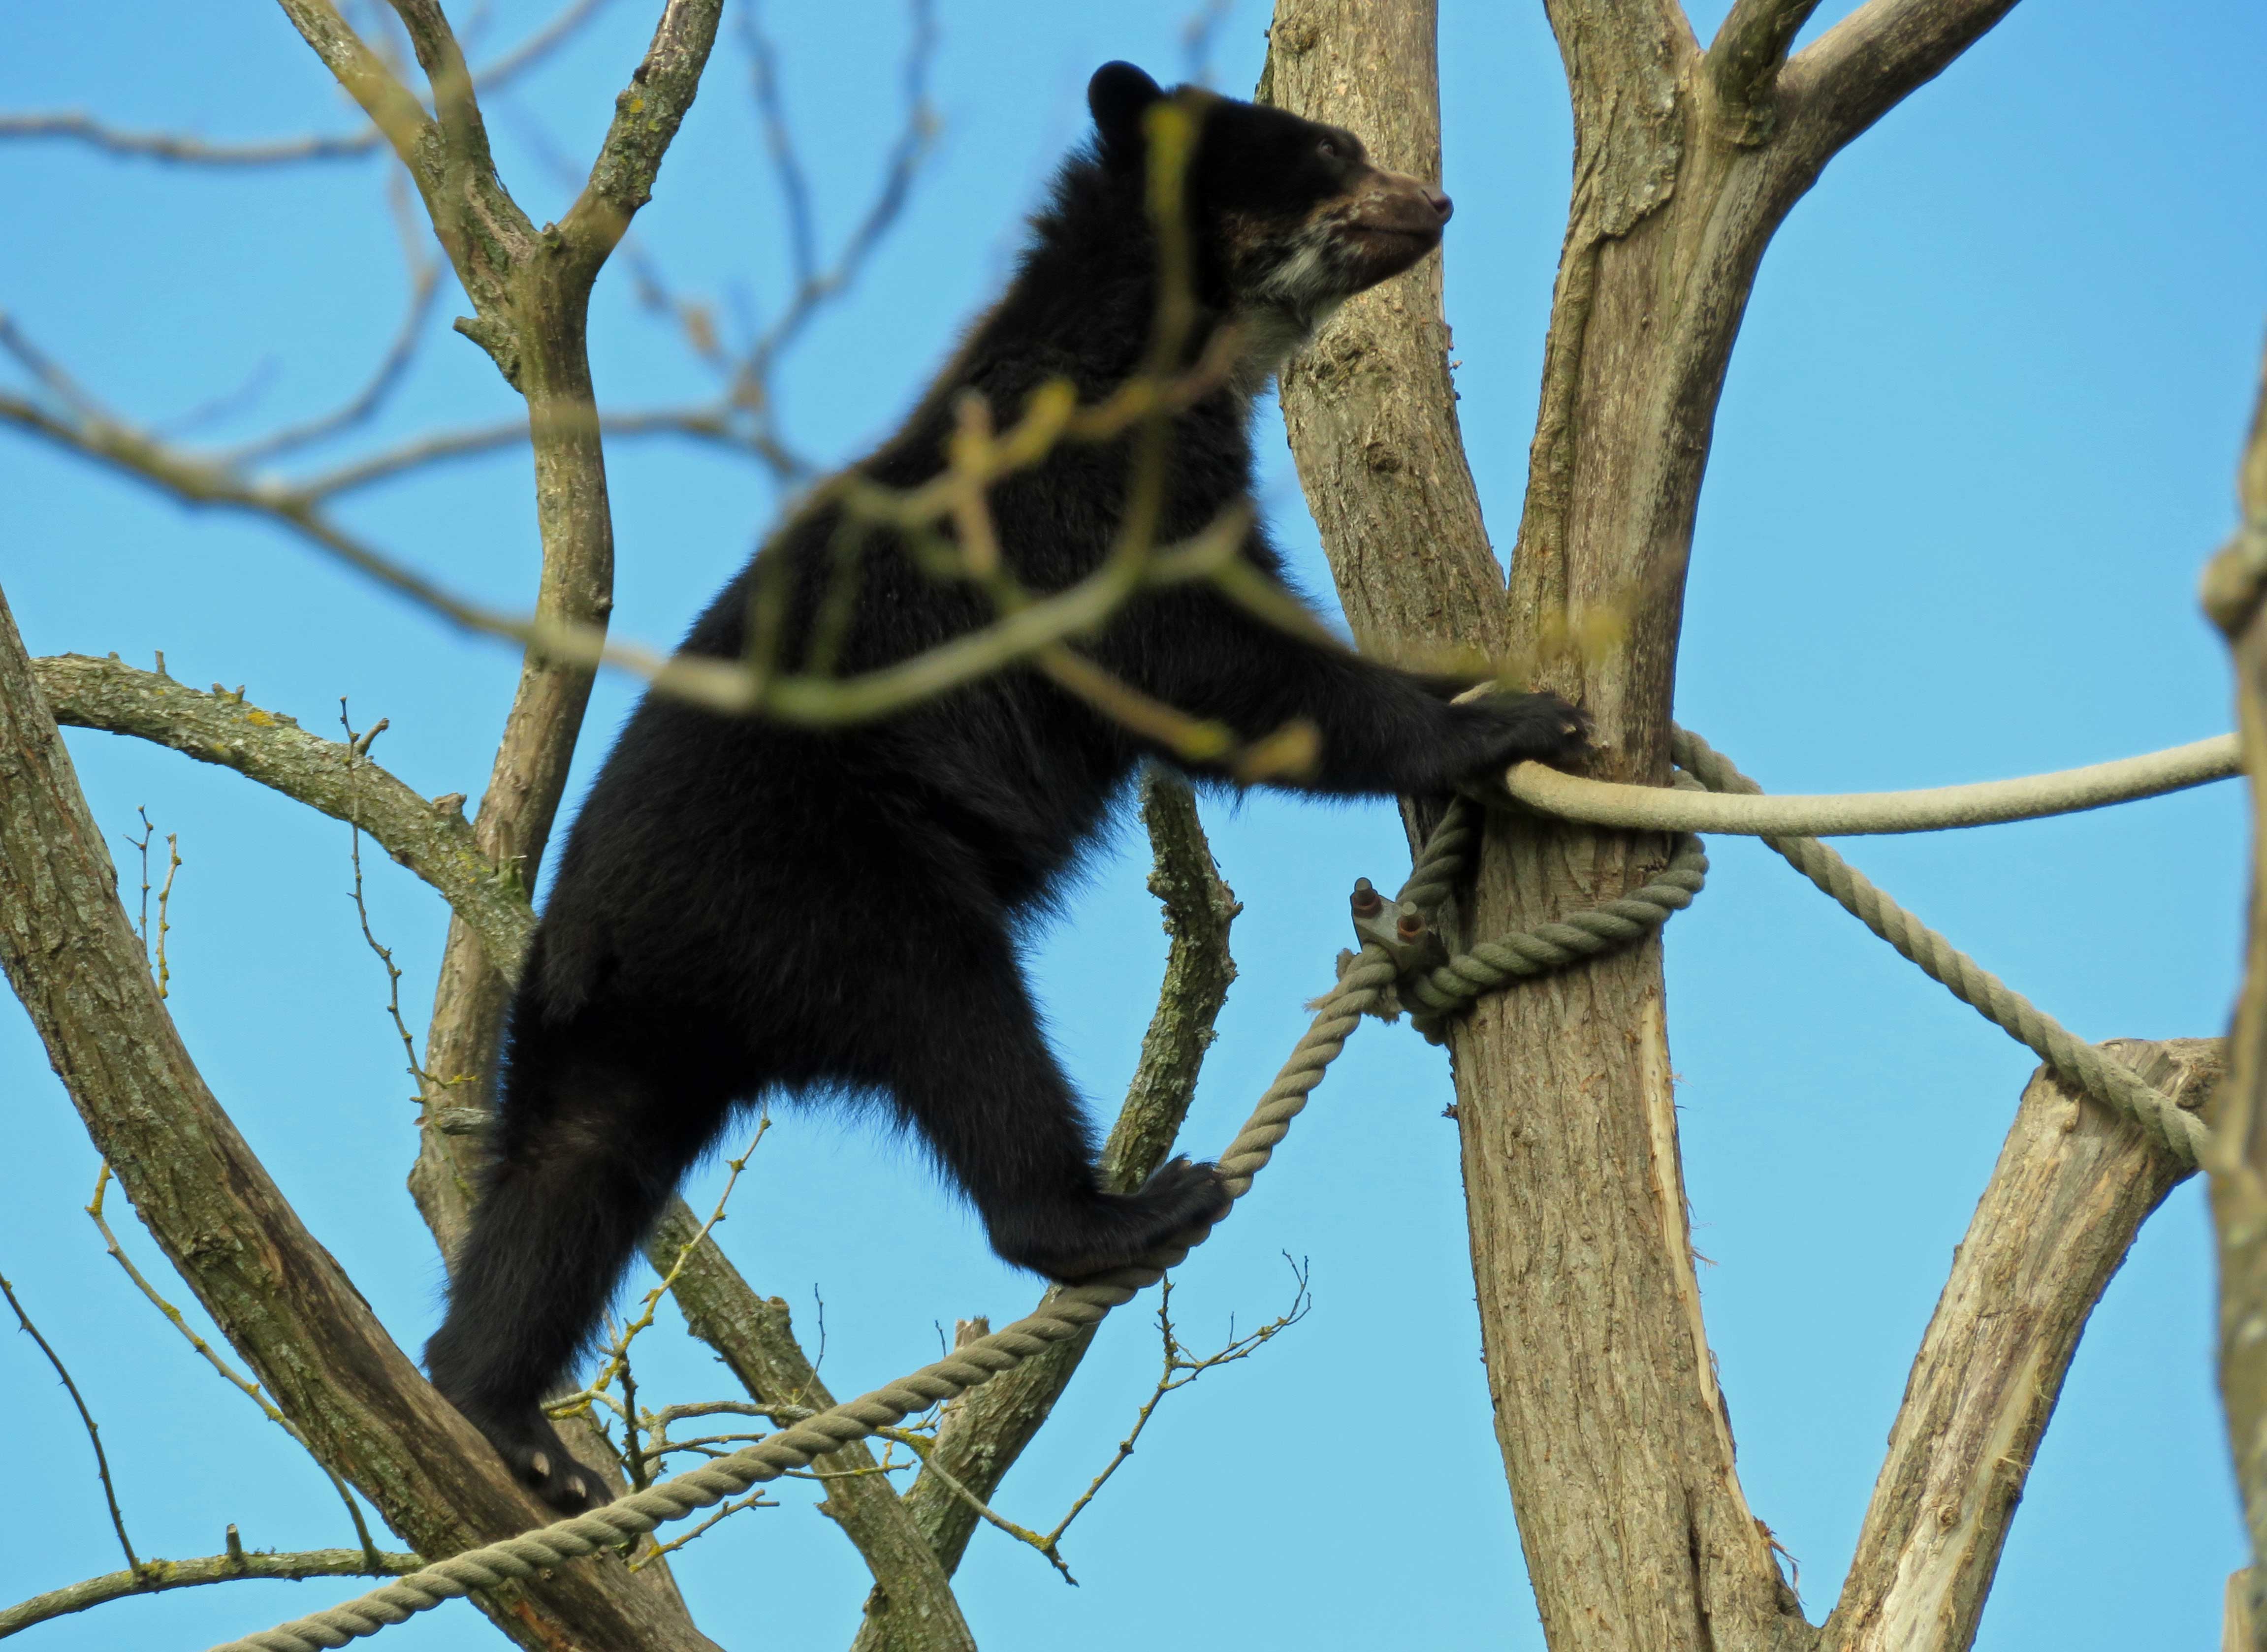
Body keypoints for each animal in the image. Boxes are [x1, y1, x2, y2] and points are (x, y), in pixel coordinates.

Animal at [426, 64, 1578, 1504]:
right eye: (1328, 149)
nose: (1434, 200)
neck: (1158, 345)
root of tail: (603, 929)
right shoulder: (1079, 504)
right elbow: (1212, 669)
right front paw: (1499, 721)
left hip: (620, 1027)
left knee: (567, 1171)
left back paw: (508, 1417)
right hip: (835, 881)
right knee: (965, 1030)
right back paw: (1119, 1210)